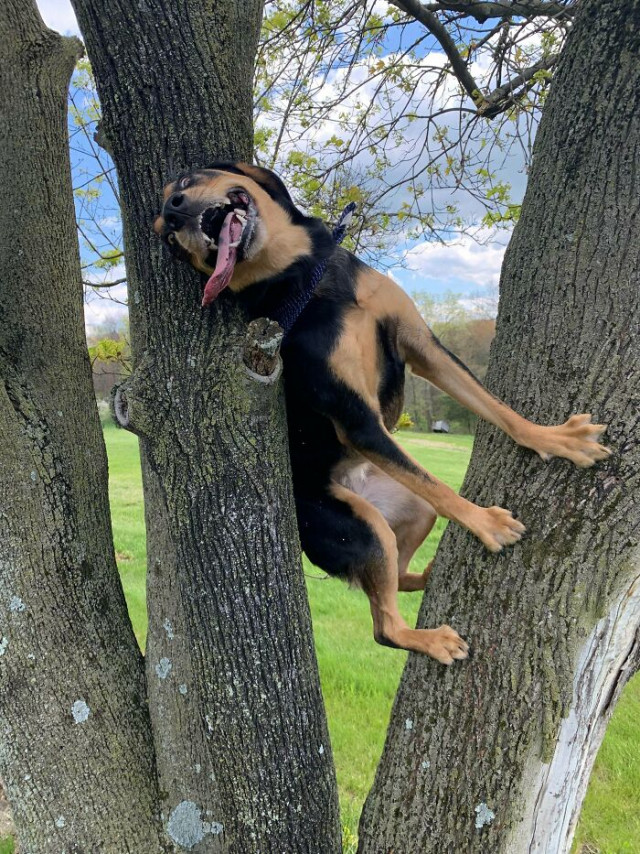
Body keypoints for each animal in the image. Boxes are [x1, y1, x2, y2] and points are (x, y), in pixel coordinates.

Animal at [155, 162, 608, 668]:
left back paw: (427, 576)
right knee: (384, 627)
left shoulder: (422, 345)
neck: (305, 275)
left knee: (400, 574)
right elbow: (444, 488)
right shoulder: (356, 419)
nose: (173, 213)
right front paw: (484, 522)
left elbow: (494, 408)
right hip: (365, 530)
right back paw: (429, 638)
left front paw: (555, 439)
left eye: (186, 181)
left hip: (408, 510)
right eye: (169, 240)